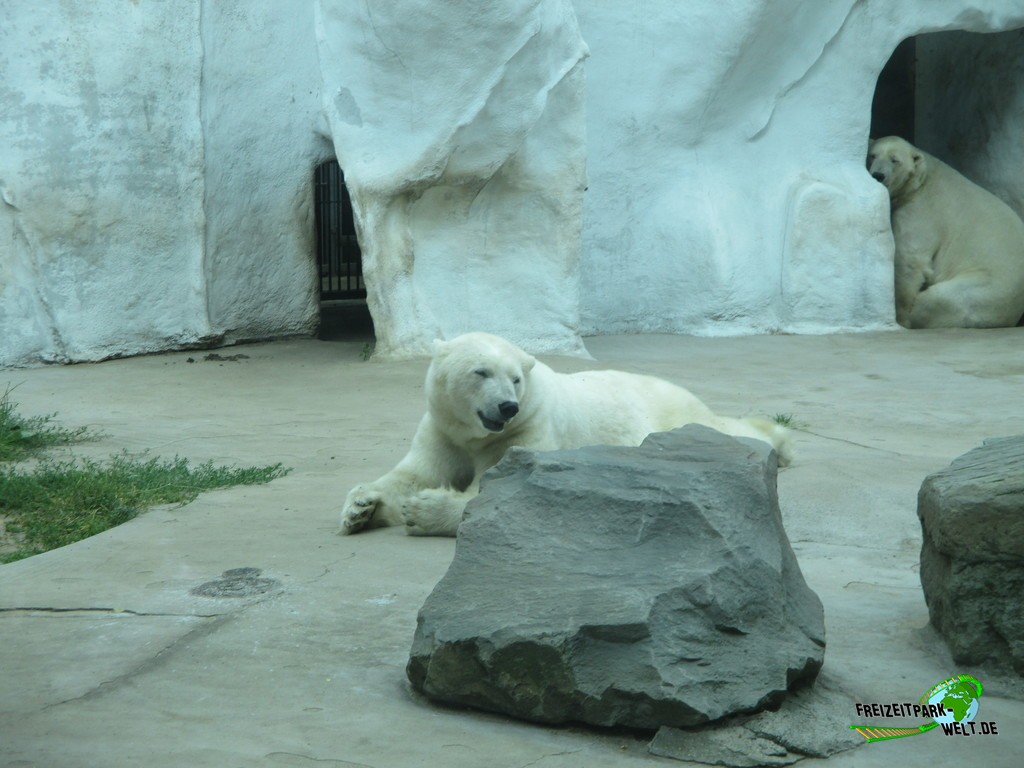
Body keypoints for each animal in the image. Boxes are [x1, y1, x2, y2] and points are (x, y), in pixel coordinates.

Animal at [339, 333, 786, 536]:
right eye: (481, 372)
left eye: (516, 379)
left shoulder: (526, 431)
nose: (507, 406)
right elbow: (413, 473)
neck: (475, 436)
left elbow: (497, 494)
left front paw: (423, 510)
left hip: (674, 419)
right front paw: (361, 506)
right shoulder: (443, 430)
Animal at [864, 137, 1024, 329]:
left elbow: (910, 260)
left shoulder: (922, 212)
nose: (878, 175)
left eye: (895, 160)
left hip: (982, 288)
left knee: (939, 299)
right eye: (872, 155)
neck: (921, 180)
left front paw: (901, 318)